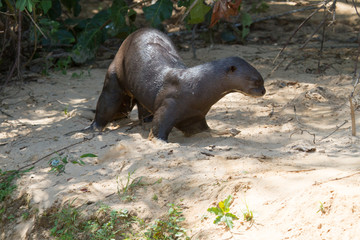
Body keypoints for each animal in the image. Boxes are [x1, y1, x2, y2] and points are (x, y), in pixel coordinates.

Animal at [88, 27, 266, 141]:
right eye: (256, 81)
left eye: (263, 81)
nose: (264, 91)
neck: (195, 88)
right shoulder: (170, 104)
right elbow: (159, 128)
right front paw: (159, 140)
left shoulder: (194, 116)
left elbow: (203, 130)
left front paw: (229, 130)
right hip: (115, 75)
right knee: (106, 104)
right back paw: (93, 128)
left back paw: (145, 120)